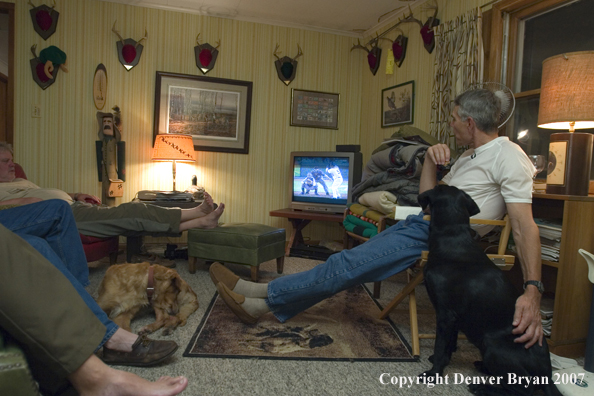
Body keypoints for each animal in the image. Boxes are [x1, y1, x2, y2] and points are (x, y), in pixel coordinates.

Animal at [414, 186, 556, 396]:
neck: (453, 236)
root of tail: (547, 375)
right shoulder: (455, 318)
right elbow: (449, 344)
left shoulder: (445, 315)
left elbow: (440, 346)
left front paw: (433, 374)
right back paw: (483, 369)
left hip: (491, 344)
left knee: (524, 390)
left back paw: (481, 386)